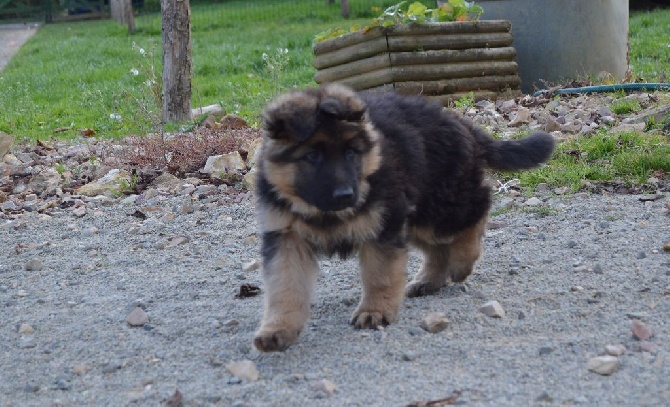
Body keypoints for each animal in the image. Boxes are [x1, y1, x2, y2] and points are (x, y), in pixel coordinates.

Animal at [255, 84, 552, 352]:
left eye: (351, 153)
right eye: (312, 156)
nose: (345, 195)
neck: (323, 213)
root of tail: (459, 122)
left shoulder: (384, 226)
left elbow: (380, 275)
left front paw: (374, 311)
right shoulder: (286, 238)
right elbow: (285, 287)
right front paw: (277, 329)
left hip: (438, 206)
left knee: (477, 209)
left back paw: (463, 261)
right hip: (414, 215)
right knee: (439, 248)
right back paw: (429, 281)